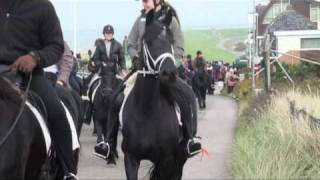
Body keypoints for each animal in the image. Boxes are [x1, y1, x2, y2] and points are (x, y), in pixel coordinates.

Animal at [120, 10, 195, 180]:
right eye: (149, 41)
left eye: (171, 40)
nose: (169, 73)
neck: (147, 111)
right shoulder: (131, 158)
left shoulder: (166, 159)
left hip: (180, 157)